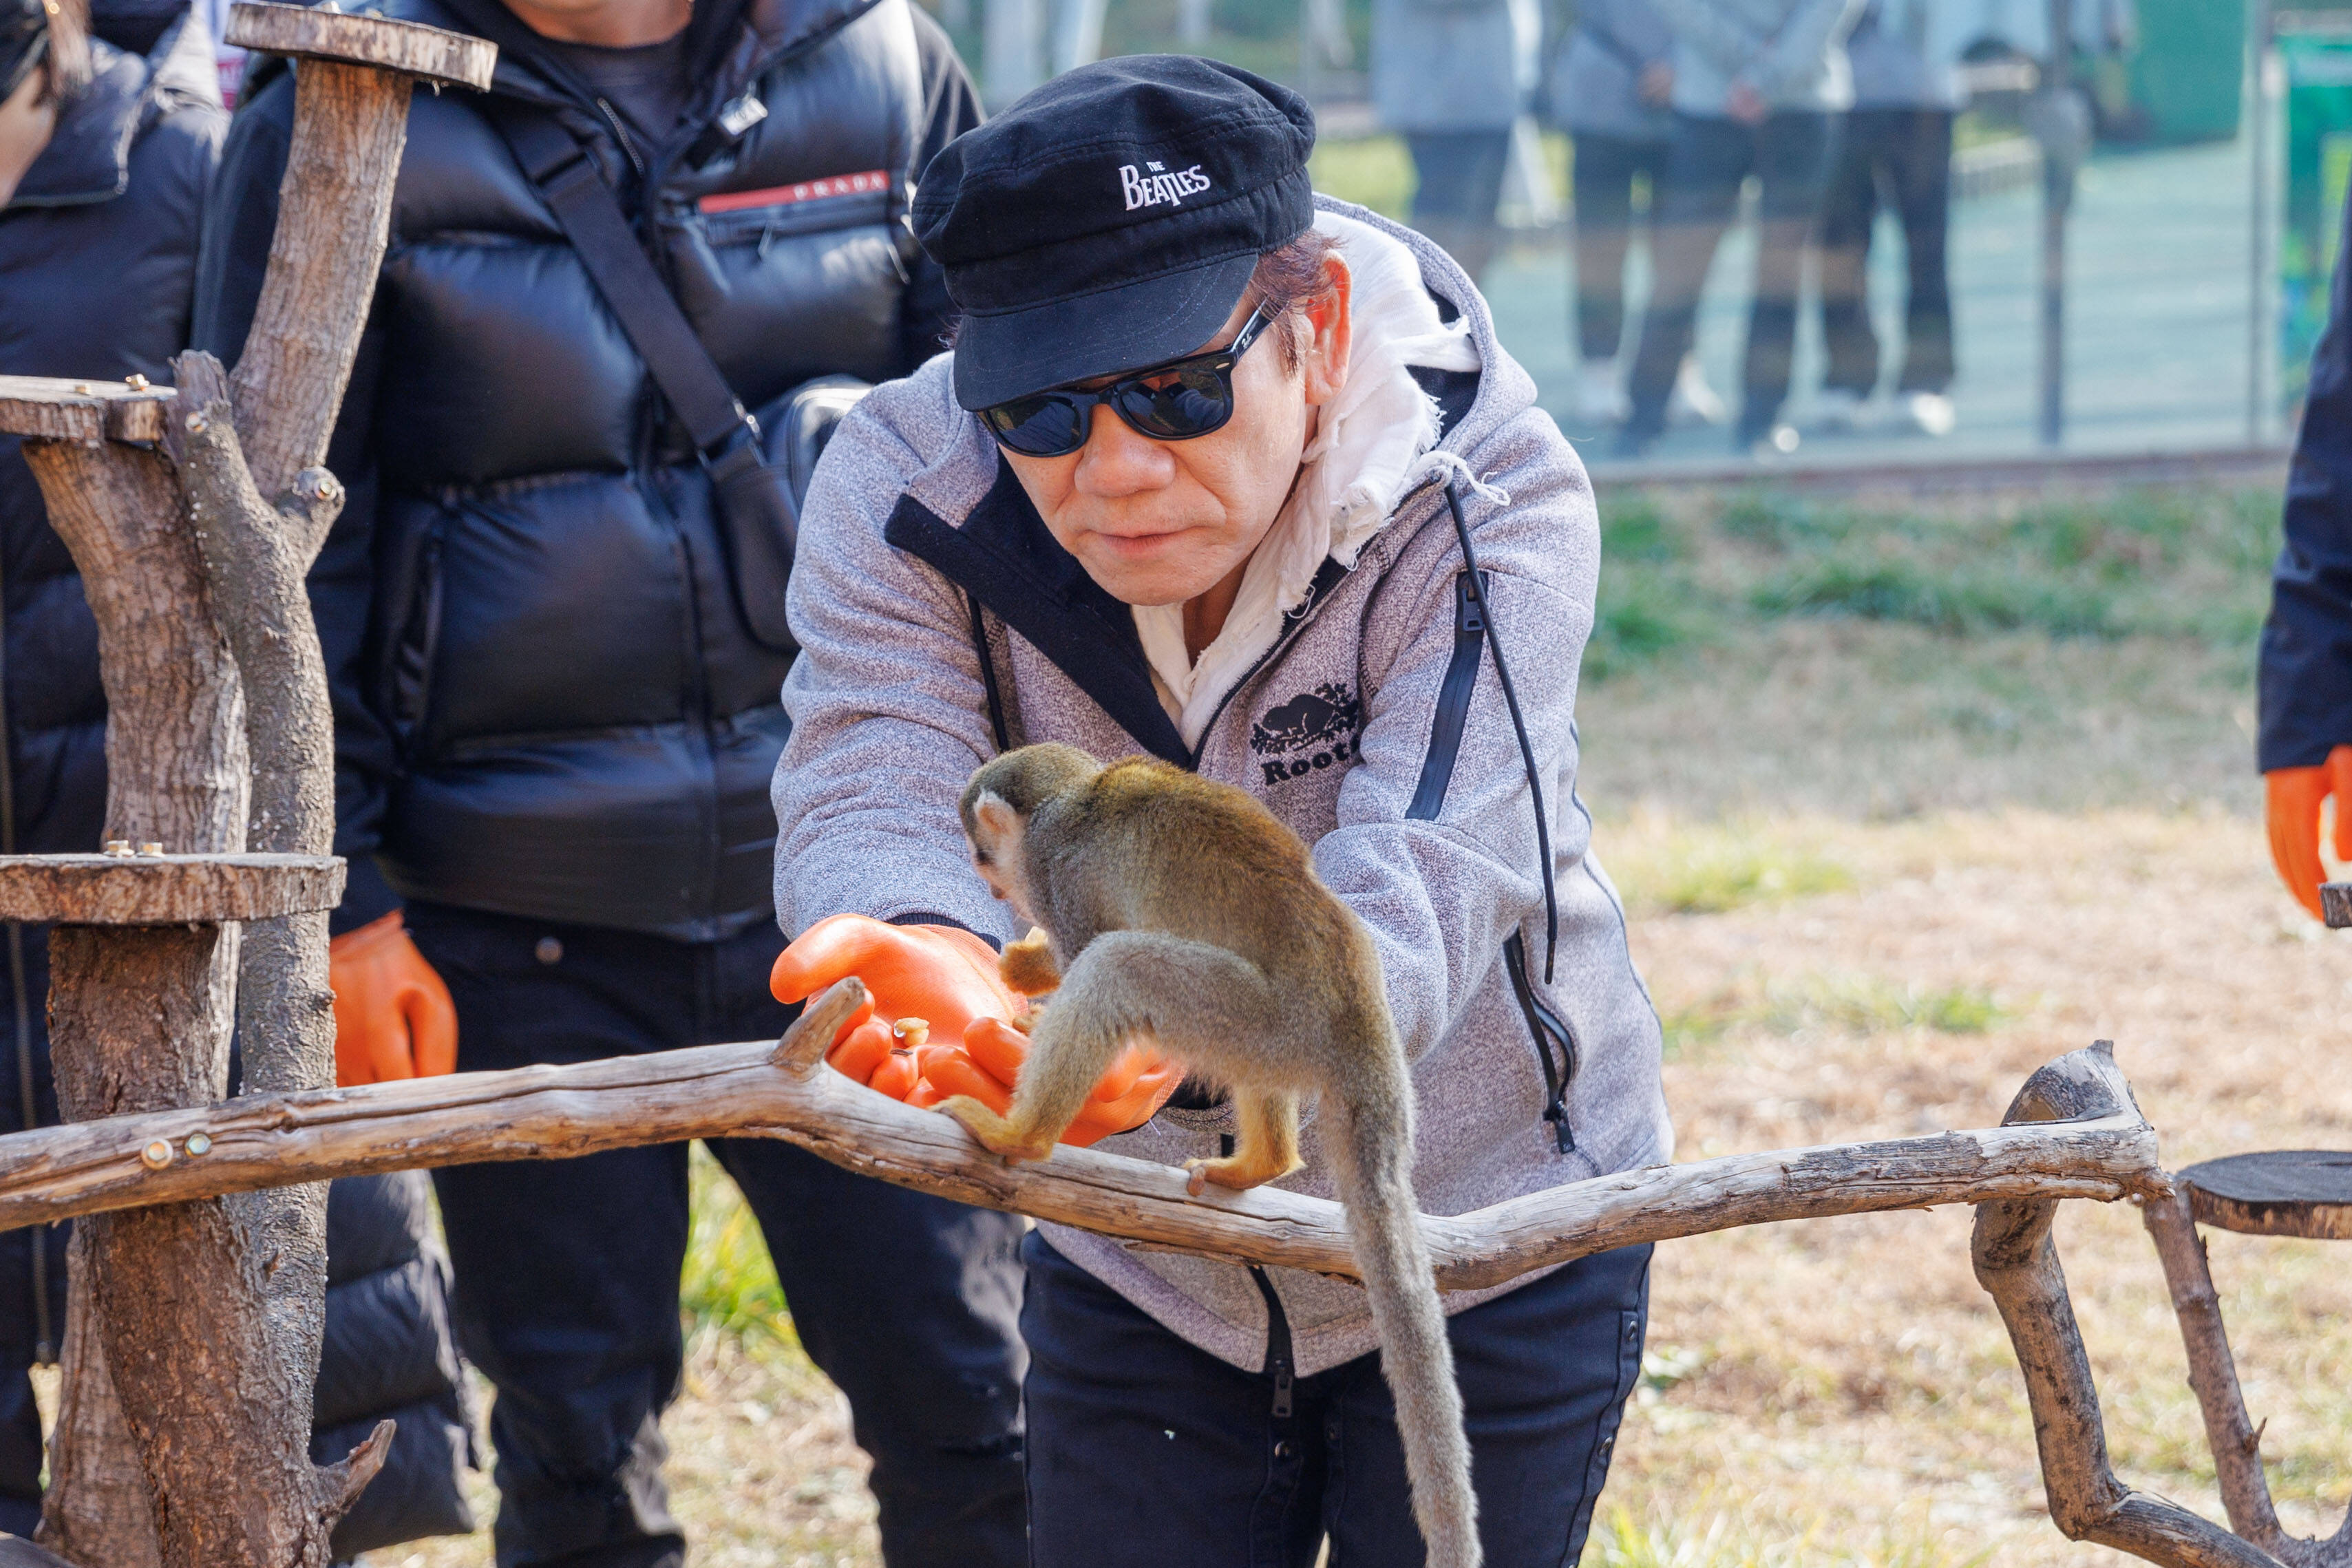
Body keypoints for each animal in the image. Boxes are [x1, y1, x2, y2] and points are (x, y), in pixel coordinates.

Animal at [950, 748, 1468, 1568]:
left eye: (980, 852)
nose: (993, 885)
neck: (1074, 797)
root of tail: (1357, 1002)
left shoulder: (1060, 870)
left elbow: (1083, 949)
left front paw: (1033, 977)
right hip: (1272, 1034)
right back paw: (1261, 1165)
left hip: (1263, 1015)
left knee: (1121, 966)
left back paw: (1021, 1136)